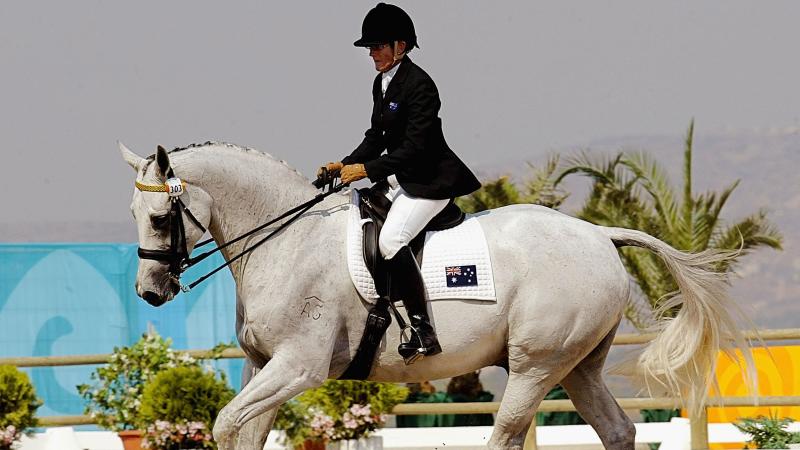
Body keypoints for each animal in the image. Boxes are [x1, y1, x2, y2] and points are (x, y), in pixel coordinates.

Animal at [122, 142, 752, 450]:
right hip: (577, 366)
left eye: (159, 217)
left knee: (505, 435)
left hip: (535, 364)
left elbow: (227, 423)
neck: (285, 241)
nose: (149, 293)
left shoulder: (299, 367)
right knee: (616, 431)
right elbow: (242, 430)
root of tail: (599, 234)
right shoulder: (261, 366)